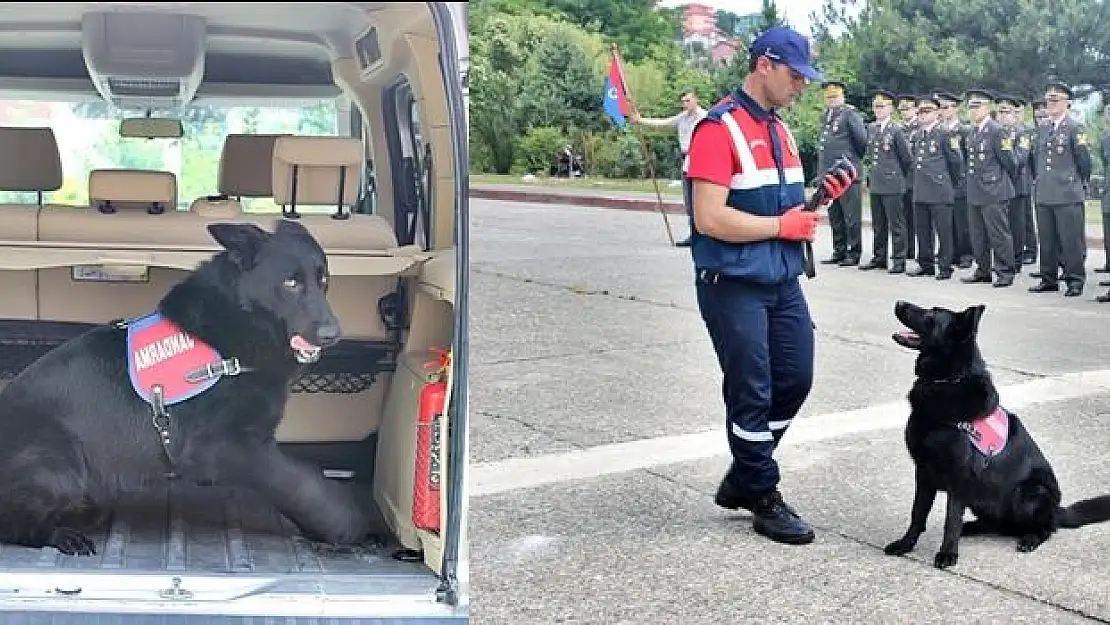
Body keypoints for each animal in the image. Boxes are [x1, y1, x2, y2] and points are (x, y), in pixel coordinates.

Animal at [0, 220, 372, 557]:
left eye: (323, 281)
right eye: (291, 283)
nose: (333, 334)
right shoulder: (228, 448)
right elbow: (299, 484)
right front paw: (344, 524)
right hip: (57, 461)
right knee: (16, 525)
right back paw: (63, 535)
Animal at [883, 299, 1110, 568]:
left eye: (931, 314)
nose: (898, 302)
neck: (948, 381)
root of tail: (1057, 510)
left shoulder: (959, 477)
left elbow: (951, 519)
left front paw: (948, 553)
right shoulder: (923, 472)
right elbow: (918, 514)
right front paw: (905, 544)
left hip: (1028, 493)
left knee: (1045, 529)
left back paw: (1030, 538)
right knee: (996, 525)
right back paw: (973, 527)